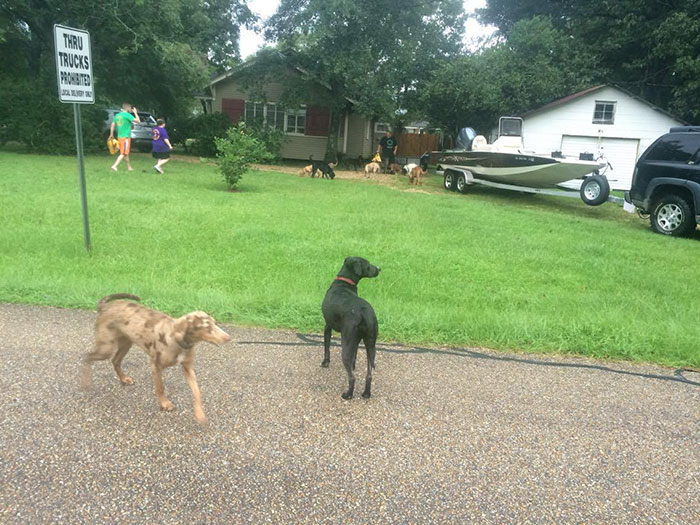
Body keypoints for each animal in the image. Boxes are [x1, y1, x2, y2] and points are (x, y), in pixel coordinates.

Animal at [322, 256, 380, 398]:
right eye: (368, 264)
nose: (379, 268)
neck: (344, 282)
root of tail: (365, 313)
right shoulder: (356, 341)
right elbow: (355, 356)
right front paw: (354, 365)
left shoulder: (327, 326)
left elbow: (327, 347)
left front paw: (325, 362)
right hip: (370, 345)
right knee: (369, 374)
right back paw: (366, 393)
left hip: (346, 344)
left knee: (352, 377)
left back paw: (347, 395)